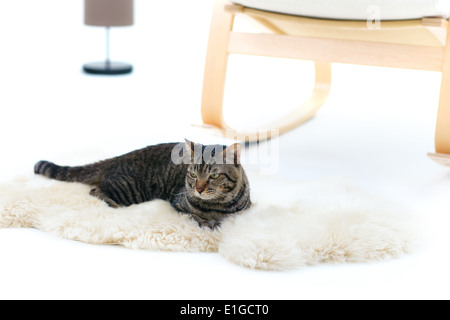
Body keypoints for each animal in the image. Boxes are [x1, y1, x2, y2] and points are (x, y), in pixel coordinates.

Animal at [34, 140, 253, 228]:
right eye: (192, 174)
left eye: (214, 176)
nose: (198, 189)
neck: (217, 205)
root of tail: (120, 157)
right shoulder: (178, 202)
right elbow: (193, 215)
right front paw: (206, 222)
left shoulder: (246, 209)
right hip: (130, 190)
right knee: (95, 190)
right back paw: (113, 204)